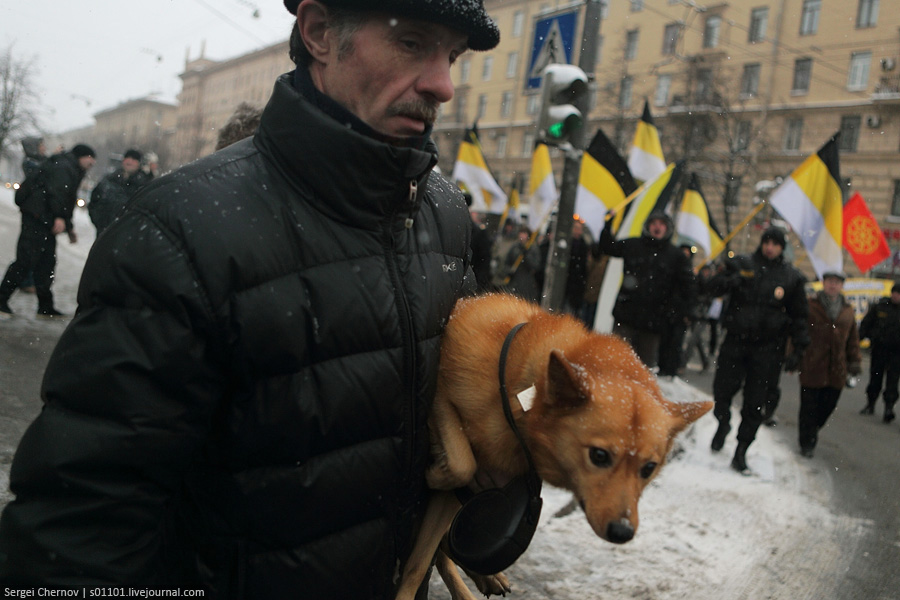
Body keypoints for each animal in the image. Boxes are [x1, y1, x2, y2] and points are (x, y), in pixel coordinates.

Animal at [398, 296, 712, 600]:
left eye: (648, 468)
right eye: (599, 456)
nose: (622, 532)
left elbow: (424, 558)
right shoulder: (437, 397)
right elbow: (461, 467)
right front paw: (434, 474)